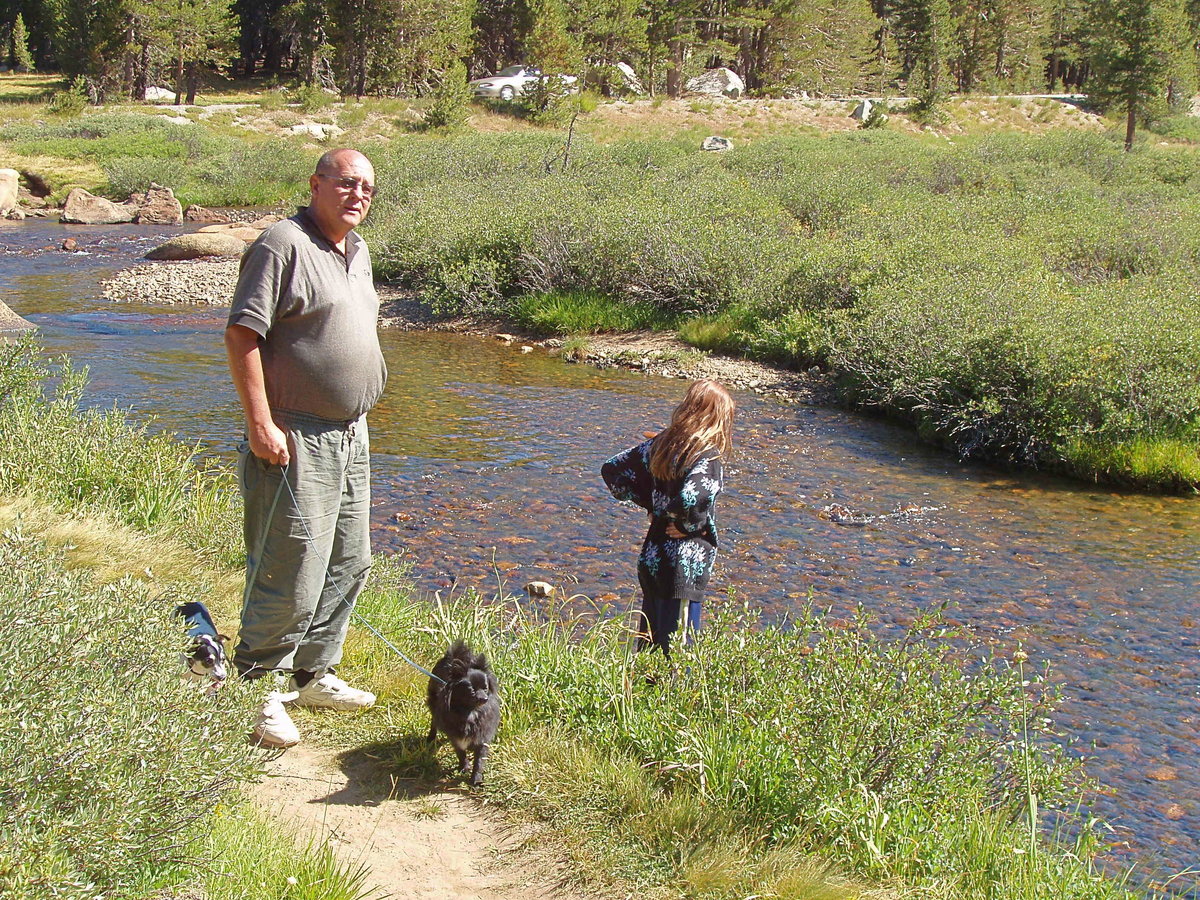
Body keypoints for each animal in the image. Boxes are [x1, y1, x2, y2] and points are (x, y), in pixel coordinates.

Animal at [427, 643, 501, 787]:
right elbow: (461, 753)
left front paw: (476, 779)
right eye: (471, 690)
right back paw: (431, 738)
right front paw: (464, 767)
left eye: (485, 688)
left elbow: (479, 761)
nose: (484, 698)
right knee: (434, 721)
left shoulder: (482, 737)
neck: (470, 712)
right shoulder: (456, 737)